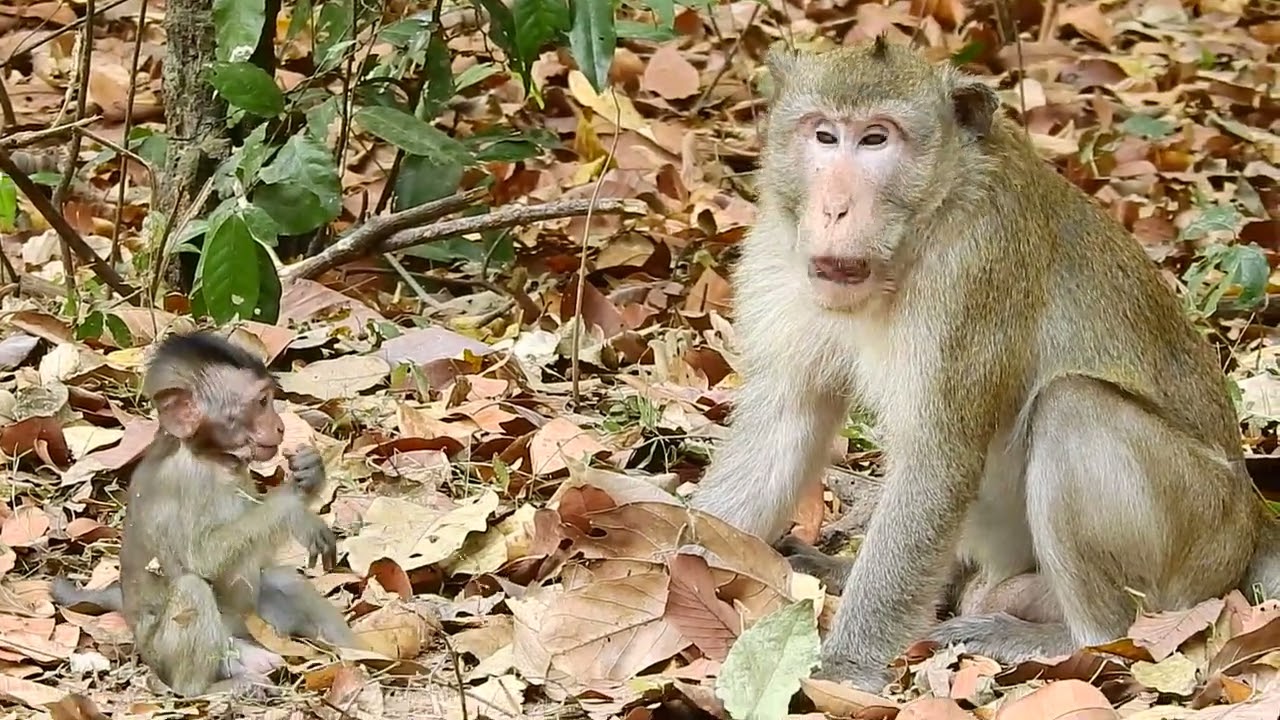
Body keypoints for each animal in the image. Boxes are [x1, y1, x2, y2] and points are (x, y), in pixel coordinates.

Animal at [51, 332, 359, 697]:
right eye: (261, 403)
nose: (281, 427)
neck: (210, 457)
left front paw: (309, 474)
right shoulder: (185, 481)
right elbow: (201, 558)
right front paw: (293, 507)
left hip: (254, 625)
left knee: (284, 580)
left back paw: (359, 654)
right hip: (173, 656)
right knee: (192, 590)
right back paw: (209, 689)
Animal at [690, 37, 1280, 691]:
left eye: (876, 139)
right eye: (824, 136)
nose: (836, 209)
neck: (927, 221)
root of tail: (1252, 522)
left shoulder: (973, 272)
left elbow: (937, 462)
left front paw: (842, 671)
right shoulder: (779, 250)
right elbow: (781, 422)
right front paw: (684, 560)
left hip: (1198, 534)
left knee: (1072, 407)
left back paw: (1069, 638)